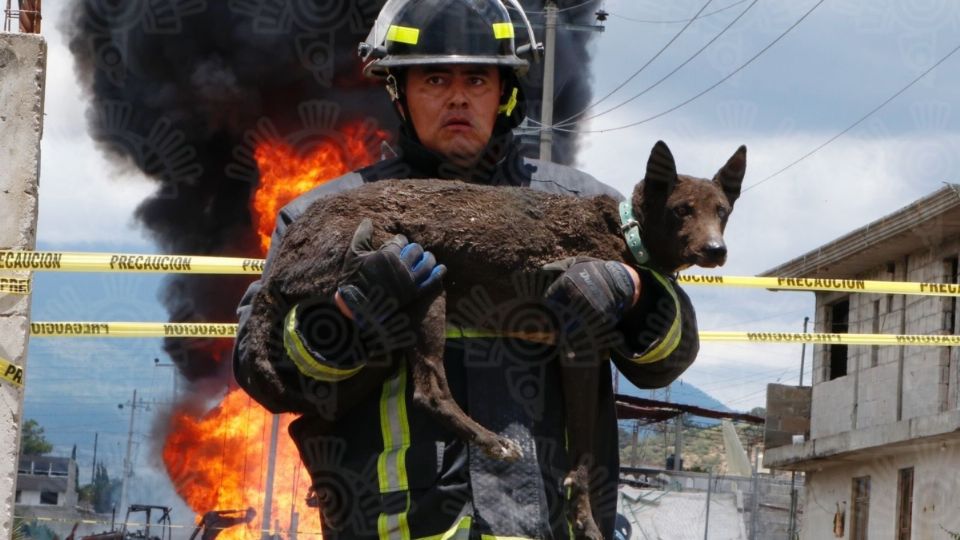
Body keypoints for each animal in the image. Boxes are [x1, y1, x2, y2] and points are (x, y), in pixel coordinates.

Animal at [246, 141, 744, 536]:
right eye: (682, 210)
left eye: (722, 211)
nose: (717, 251)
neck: (626, 230)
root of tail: (279, 263)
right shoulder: (578, 343)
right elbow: (582, 455)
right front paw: (584, 519)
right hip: (419, 283)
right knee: (428, 391)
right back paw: (493, 442)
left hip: (381, 338)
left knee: (310, 423)